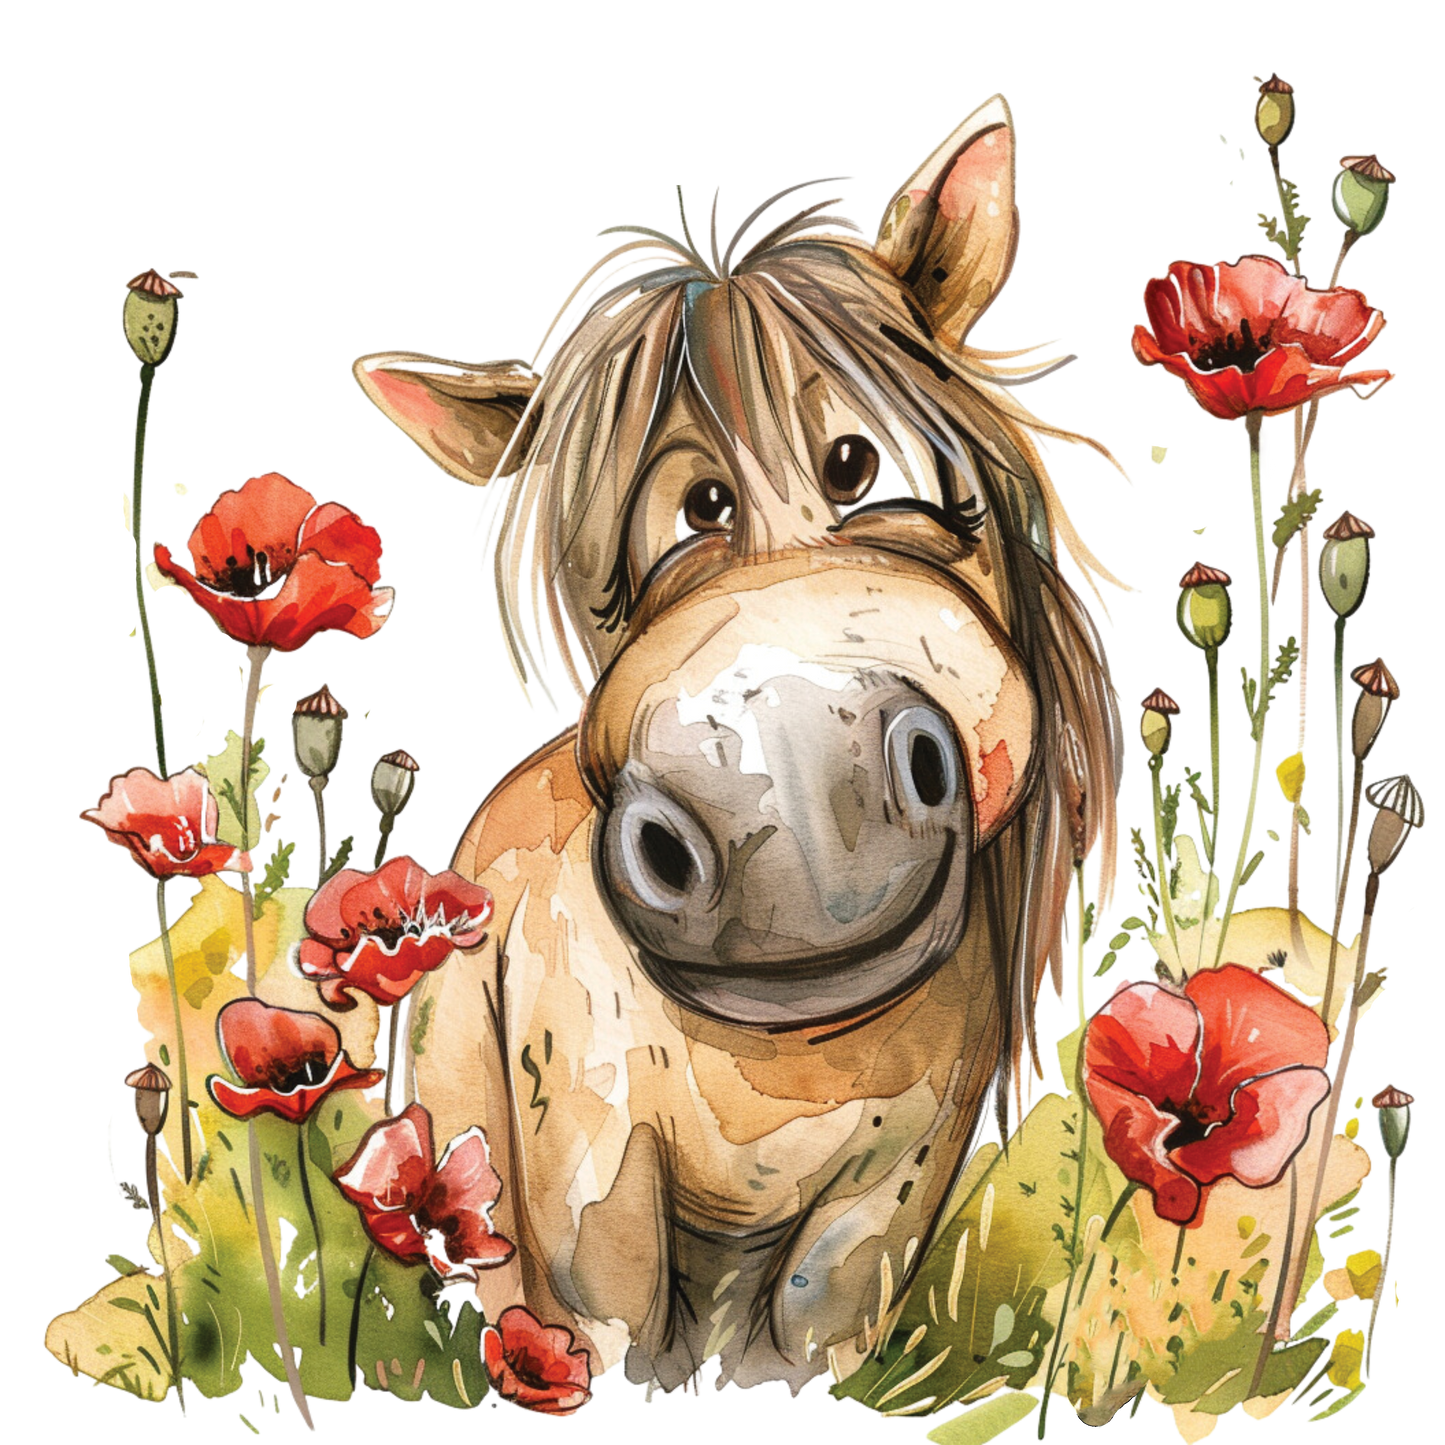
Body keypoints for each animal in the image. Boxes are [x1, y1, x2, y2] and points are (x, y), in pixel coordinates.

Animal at [350, 90, 1135, 1408]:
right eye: (666, 537)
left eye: (862, 463)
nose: (796, 806)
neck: (789, 1062)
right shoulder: (588, 1166)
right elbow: (604, 1323)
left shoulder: (889, 1190)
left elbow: (817, 1331)